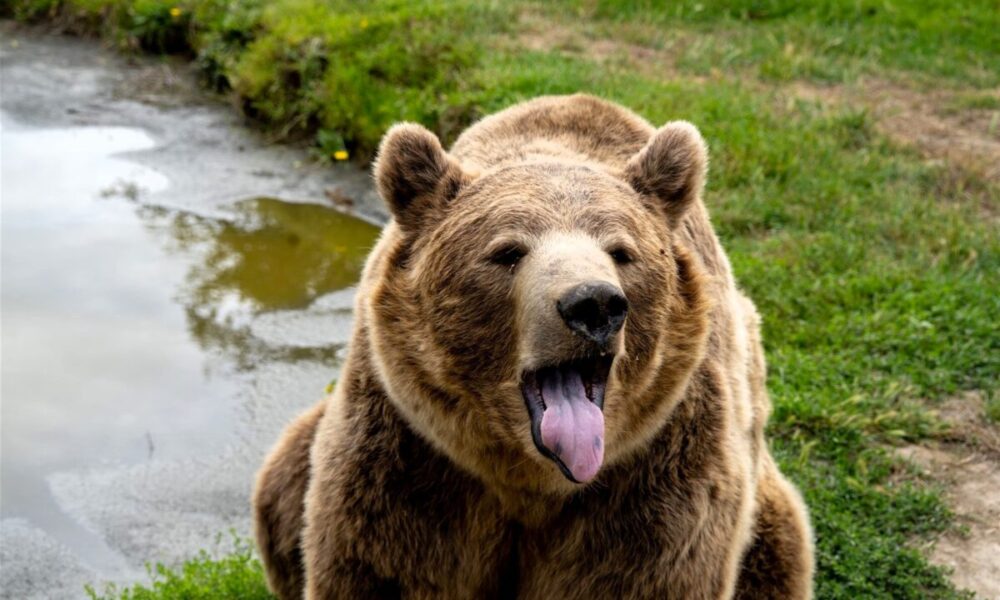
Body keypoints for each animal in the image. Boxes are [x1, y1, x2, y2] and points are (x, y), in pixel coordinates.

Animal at [253, 94, 814, 599]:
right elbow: (381, 566)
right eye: (507, 251)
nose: (594, 304)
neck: (533, 481)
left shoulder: (657, 477)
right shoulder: (411, 459)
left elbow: (646, 575)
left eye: (622, 251)